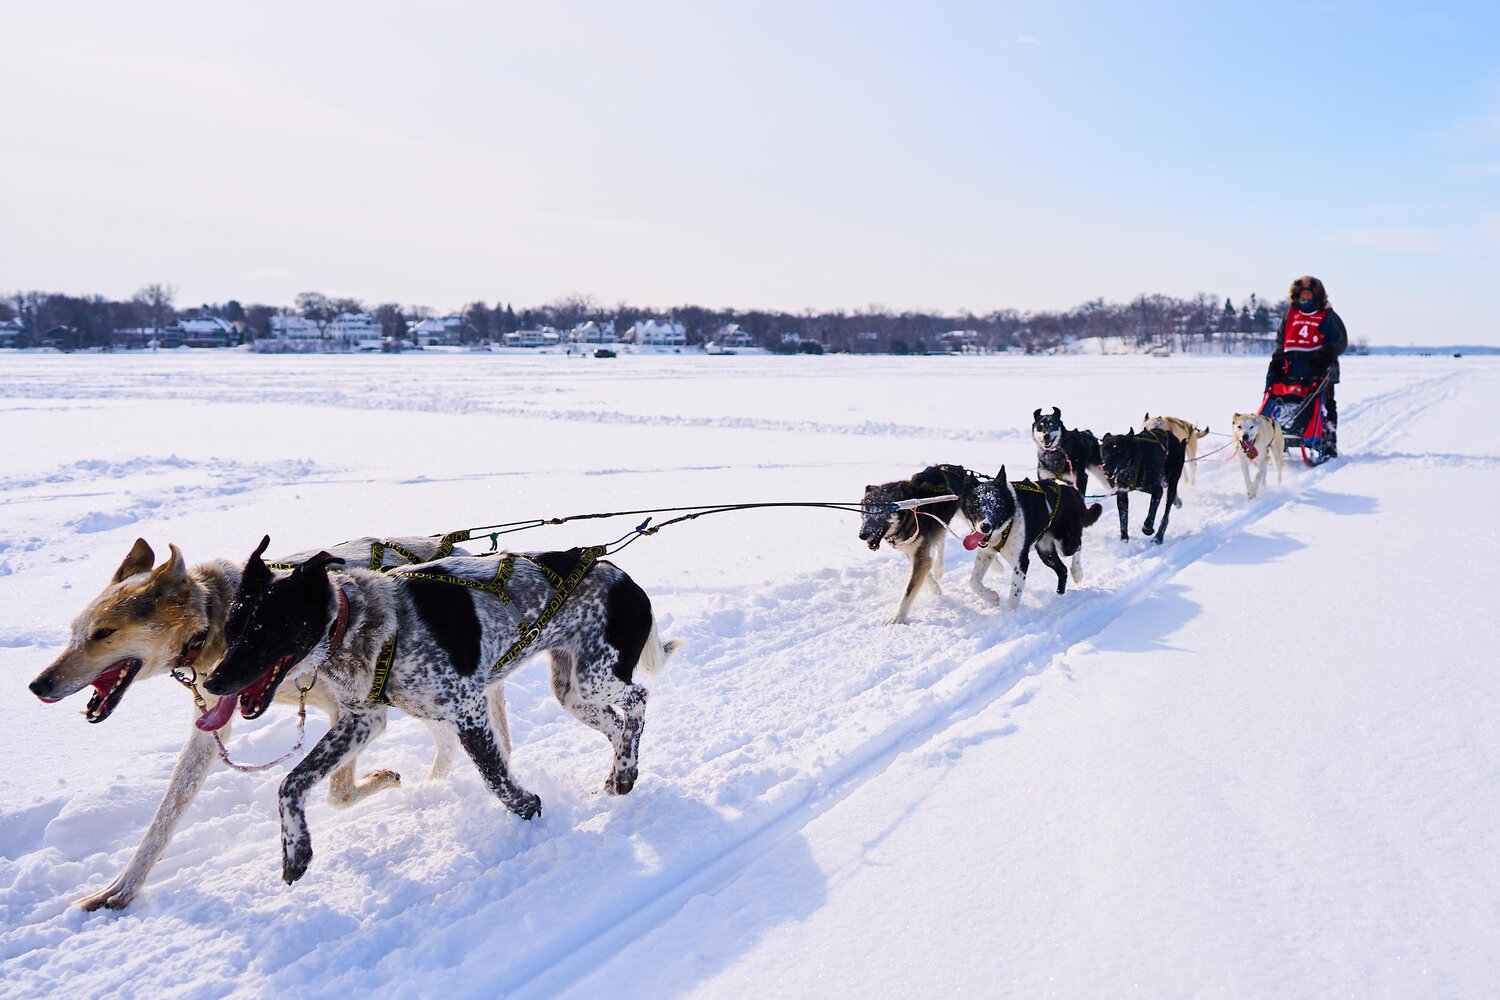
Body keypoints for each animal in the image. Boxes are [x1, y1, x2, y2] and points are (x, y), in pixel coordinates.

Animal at [29, 539, 504, 917]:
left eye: (103, 633)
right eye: (75, 632)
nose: (38, 684)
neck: (214, 621)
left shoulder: (351, 711)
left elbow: (338, 792)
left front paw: (381, 780)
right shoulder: (211, 728)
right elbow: (163, 819)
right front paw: (121, 888)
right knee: (447, 739)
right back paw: (436, 781)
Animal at [201, 539, 681, 881]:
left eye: (265, 629)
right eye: (232, 628)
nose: (212, 683)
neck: (362, 623)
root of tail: (625, 578)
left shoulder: (468, 709)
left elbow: (496, 777)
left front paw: (529, 809)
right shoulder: (363, 720)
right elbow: (291, 783)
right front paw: (295, 849)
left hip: (595, 678)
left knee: (638, 700)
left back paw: (624, 771)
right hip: (575, 692)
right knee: (617, 725)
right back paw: (618, 773)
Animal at [858, 464, 972, 620]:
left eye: (879, 512)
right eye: (863, 513)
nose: (862, 534)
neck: (910, 512)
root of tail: (957, 468)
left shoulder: (919, 554)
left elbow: (909, 590)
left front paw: (898, 617)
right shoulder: (913, 552)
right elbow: (926, 571)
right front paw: (936, 588)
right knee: (940, 540)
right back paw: (939, 569)